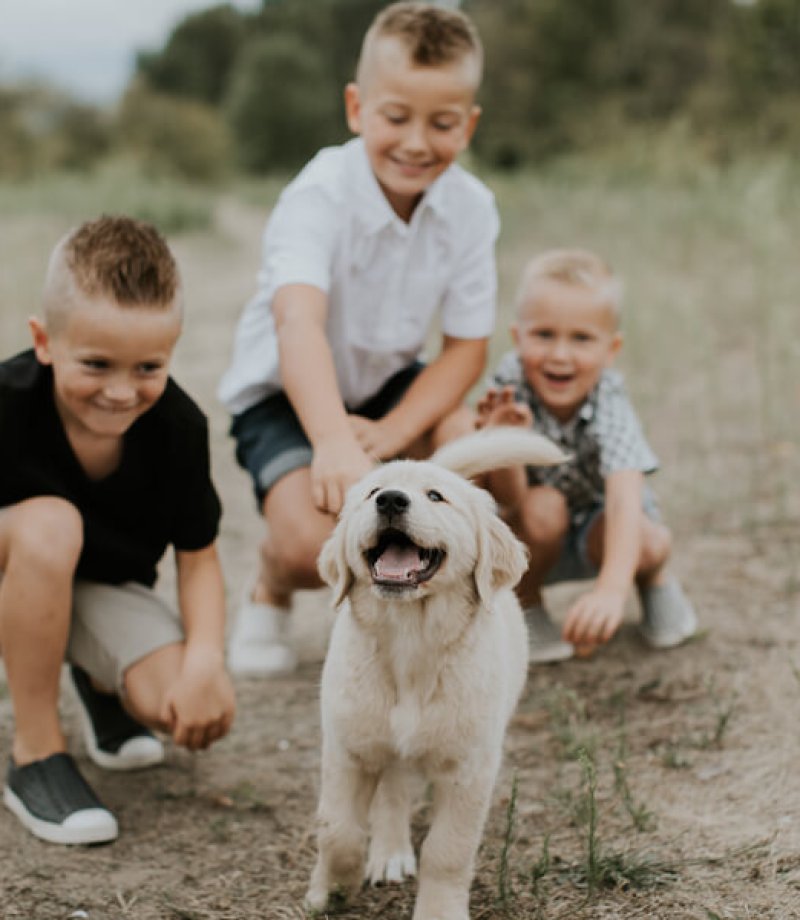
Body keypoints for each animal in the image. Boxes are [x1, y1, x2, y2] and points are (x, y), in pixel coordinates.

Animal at [304, 428, 564, 916]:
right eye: (371, 491)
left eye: (436, 496)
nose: (390, 500)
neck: (409, 641)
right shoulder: (348, 750)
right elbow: (338, 830)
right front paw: (329, 891)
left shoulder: (469, 770)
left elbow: (448, 850)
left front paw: (439, 908)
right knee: (391, 791)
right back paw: (389, 853)